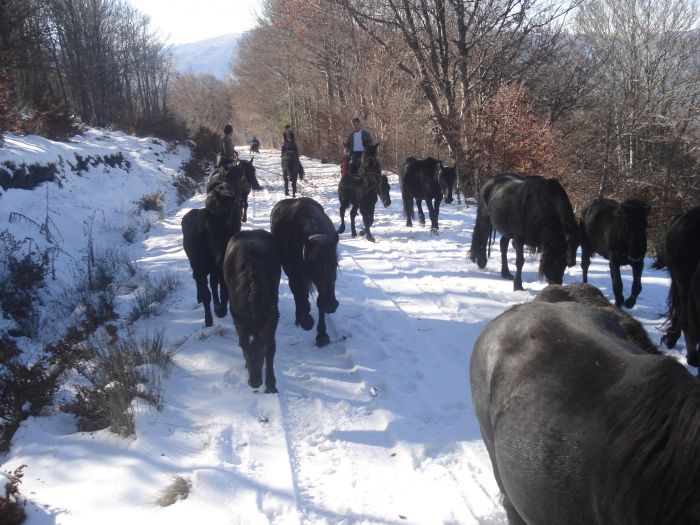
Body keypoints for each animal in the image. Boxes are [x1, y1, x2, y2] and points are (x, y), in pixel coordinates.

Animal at [270, 194, 340, 346]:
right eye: (313, 266)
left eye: (335, 264)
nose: (331, 304)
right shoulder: (295, 276)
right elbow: (300, 295)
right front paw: (305, 320)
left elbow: (319, 303)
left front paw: (322, 334)